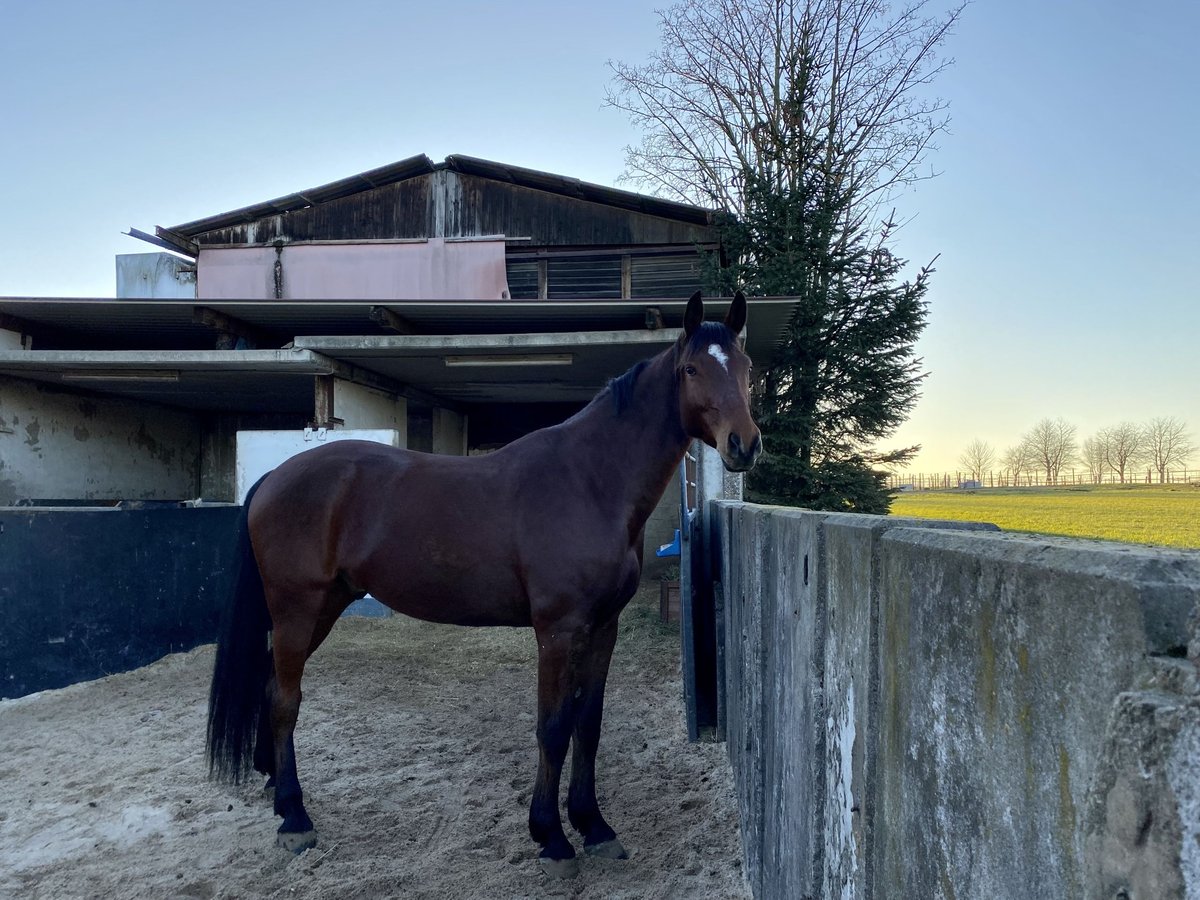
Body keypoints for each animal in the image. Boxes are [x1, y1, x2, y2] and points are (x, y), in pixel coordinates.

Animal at [205, 292, 758, 878]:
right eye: (692, 370)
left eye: (746, 368)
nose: (744, 444)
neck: (590, 482)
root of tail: (276, 477)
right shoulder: (558, 632)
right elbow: (553, 727)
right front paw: (552, 837)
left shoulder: (603, 628)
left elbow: (588, 724)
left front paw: (594, 826)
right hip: (297, 608)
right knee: (286, 698)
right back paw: (294, 817)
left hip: (324, 608)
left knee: (271, 685)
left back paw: (274, 787)